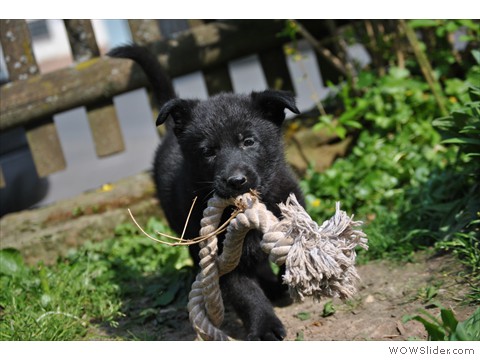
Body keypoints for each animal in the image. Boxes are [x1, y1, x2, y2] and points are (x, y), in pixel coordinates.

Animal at [108, 45, 304, 340]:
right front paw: (264, 326)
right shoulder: (220, 257)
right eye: (208, 151)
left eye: (248, 141)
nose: (236, 181)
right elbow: (246, 293)